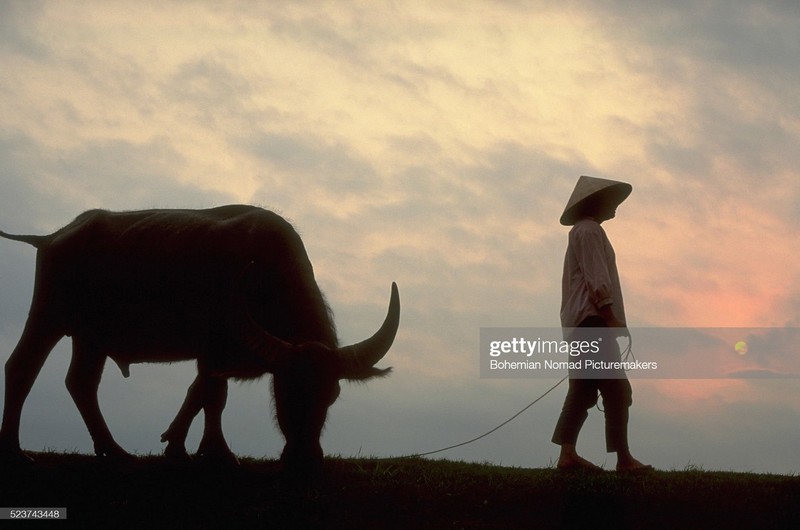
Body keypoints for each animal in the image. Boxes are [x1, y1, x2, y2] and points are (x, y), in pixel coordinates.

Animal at [0, 204, 400, 468]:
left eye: (331, 395)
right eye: (284, 391)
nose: (304, 458)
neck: (263, 275)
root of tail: (52, 237)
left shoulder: (216, 356)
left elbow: (199, 394)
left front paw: (178, 444)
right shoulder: (212, 348)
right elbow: (212, 396)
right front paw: (216, 451)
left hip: (90, 338)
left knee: (81, 383)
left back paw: (112, 449)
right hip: (48, 317)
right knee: (22, 368)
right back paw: (14, 448)